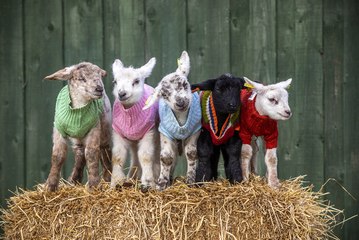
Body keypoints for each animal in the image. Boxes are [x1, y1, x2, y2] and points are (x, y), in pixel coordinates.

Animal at [44, 62, 112, 191]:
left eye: (100, 76)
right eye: (81, 78)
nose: (99, 89)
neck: (78, 111)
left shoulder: (94, 128)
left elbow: (91, 154)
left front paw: (94, 185)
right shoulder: (58, 130)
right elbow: (58, 155)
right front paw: (51, 186)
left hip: (105, 125)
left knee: (105, 150)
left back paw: (108, 178)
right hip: (78, 138)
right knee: (80, 153)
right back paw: (74, 180)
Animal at [110, 57, 160, 188]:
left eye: (136, 81)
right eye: (115, 82)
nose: (121, 93)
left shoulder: (149, 131)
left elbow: (146, 156)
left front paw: (148, 182)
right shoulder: (118, 132)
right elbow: (117, 156)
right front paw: (116, 182)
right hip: (133, 140)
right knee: (135, 156)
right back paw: (132, 177)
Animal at [145, 51, 204, 190]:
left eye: (185, 84)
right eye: (164, 94)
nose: (180, 102)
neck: (181, 117)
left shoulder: (195, 130)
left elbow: (192, 153)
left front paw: (190, 180)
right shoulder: (165, 132)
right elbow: (166, 157)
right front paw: (161, 184)